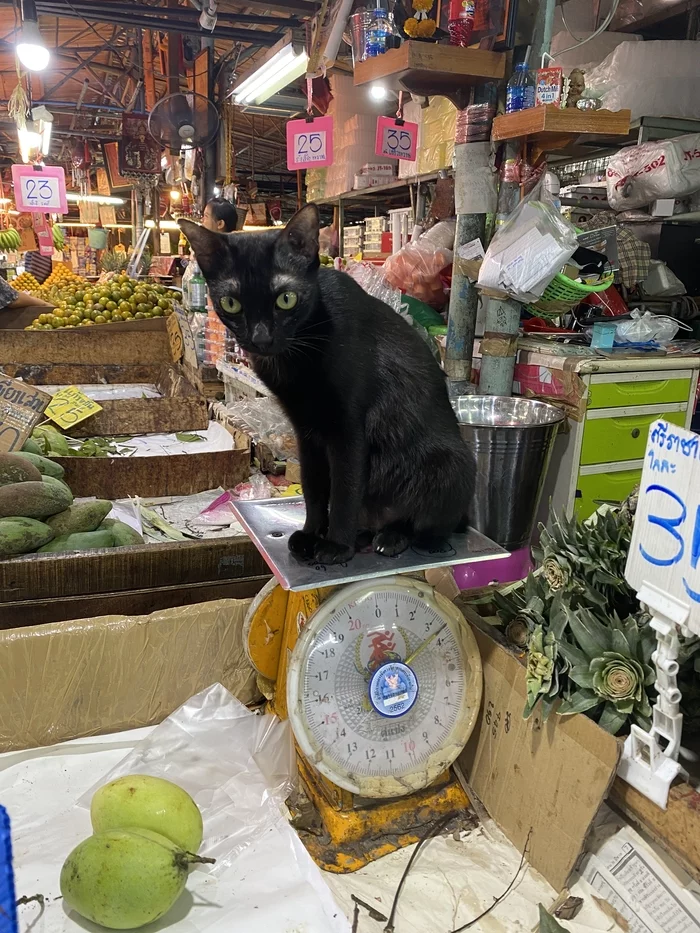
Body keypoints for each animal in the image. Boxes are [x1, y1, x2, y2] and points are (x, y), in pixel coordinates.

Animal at [180, 205, 476, 564]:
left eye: (286, 299)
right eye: (231, 303)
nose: (261, 339)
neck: (295, 360)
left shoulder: (347, 429)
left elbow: (345, 490)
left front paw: (336, 545)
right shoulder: (305, 431)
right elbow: (315, 489)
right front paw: (311, 534)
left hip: (452, 465)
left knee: (427, 525)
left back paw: (392, 537)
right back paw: (367, 533)